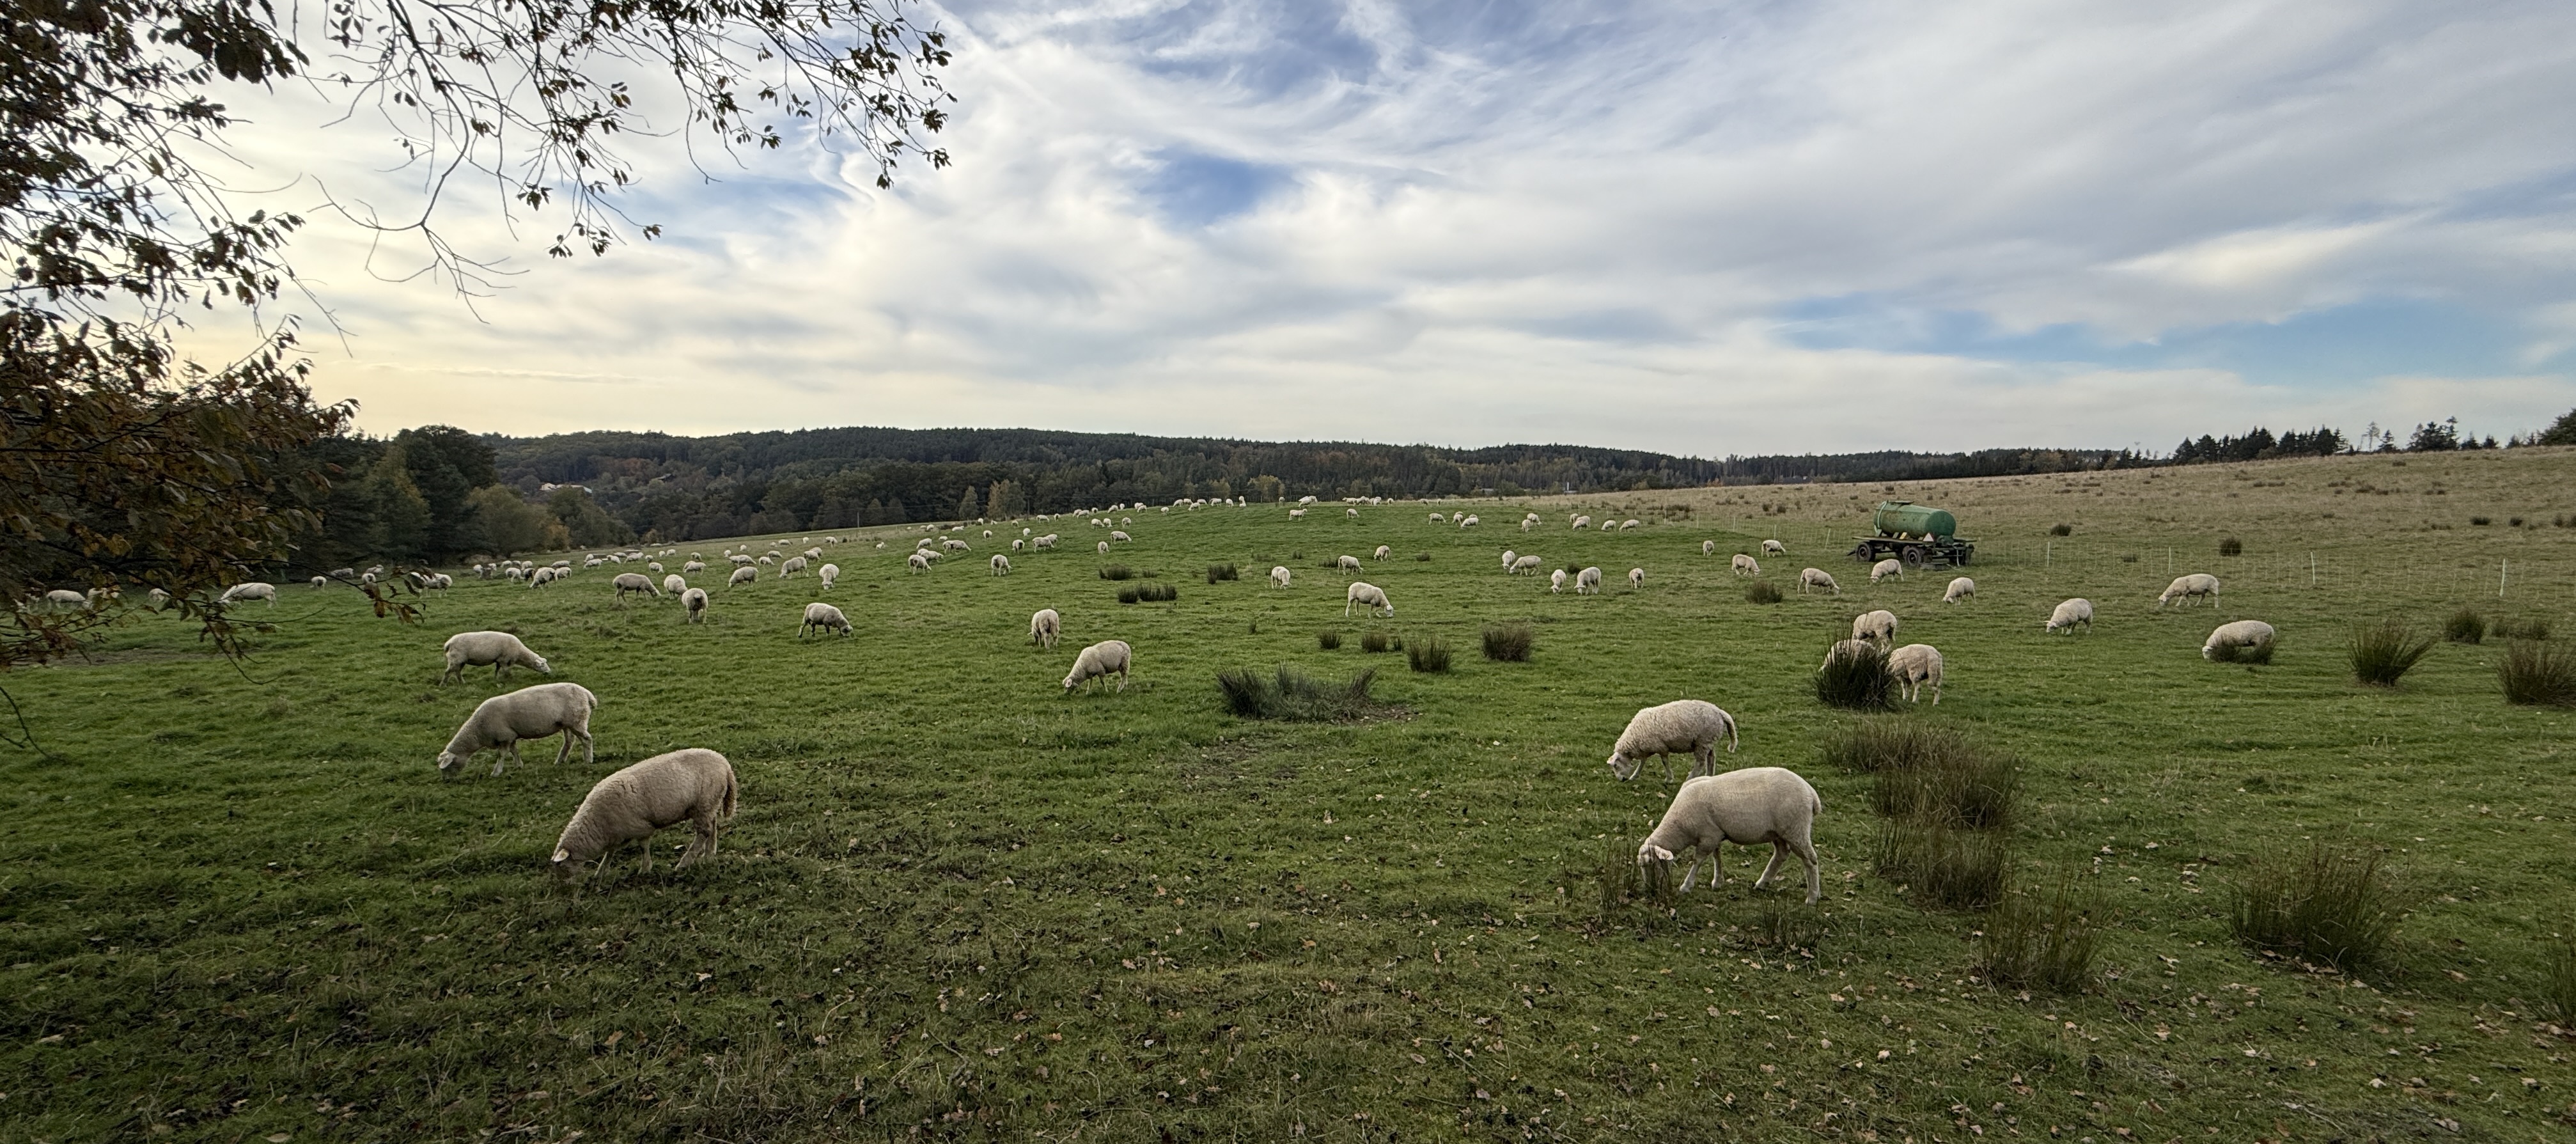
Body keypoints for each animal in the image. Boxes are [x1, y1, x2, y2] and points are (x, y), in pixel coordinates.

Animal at [435, 682, 598, 776]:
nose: (447, 781)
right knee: (569, 741)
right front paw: (519, 765)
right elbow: (514, 751)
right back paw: (560, 760)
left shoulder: (504, 736)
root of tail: (587, 694)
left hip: (577, 720)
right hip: (567, 723)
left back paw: (588, 760)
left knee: (587, 739)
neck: (477, 731)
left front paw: (496, 772)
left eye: (447, 767)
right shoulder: (510, 736)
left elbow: (502, 754)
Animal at [442, 631, 552, 684]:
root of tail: (448, 644)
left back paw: (462, 683)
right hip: (456, 659)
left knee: (457, 672)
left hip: (460, 661)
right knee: (448, 672)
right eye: (542, 665)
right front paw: (511, 680)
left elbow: (497, 670)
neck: (519, 652)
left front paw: (496, 679)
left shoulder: (499, 660)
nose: (549, 672)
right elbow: (507, 671)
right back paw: (443, 685)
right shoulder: (504, 660)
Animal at [549, 748, 738, 884]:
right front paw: (601, 872)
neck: (597, 825)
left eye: (562, 866)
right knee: (712, 828)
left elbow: (643, 847)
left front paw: (645, 868)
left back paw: (684, 863)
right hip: (709, 804)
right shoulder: (617, 834)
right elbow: (610, 853)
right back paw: (709, 856)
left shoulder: (640, 827)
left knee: (703, 833)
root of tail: (725, 764)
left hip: (703, 803)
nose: (565, 886)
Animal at [1606, 699, 1740, 783]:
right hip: (1708, 741)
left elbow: (1665, 762)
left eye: (1616, 766)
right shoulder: (1647, 747)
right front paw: (1635, 776)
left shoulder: (1660, 747)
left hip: (1703, 741)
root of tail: (1720, 712)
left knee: (1701, 763)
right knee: (1711, 758)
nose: (1621, 780)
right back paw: (1709, 777)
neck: (1634, 737)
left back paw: (1690, 778)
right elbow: (1643, 762)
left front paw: (1669, 779)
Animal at [1636, 767, 1823, 903]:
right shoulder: (1714, 833)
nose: (1649, 890)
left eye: (1651, 863)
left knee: (1810, 860)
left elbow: (1698, 860)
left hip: (1796, 829)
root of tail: (1810, 792)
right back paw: (1762, 883)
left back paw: (1812, 897)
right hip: (1778, 832)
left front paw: (1686, 886)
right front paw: (1718, 882)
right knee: (1782, 854)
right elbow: (1716, 856)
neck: (1679, 826)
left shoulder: (1708, 837)